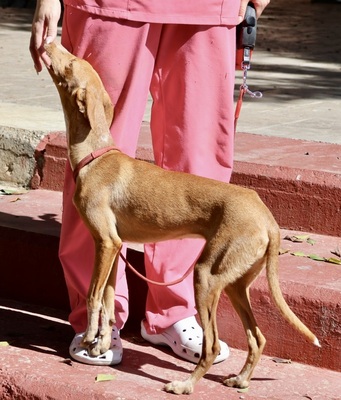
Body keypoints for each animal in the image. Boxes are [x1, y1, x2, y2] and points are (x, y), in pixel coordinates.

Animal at [43, 39, 318, 394]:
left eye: (72, 62)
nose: (51, 41)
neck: (96, 155)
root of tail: (268, 220)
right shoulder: (114, 246)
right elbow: (107, 299)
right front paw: (102, 342)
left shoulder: (106, 241)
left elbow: (92, 296)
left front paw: (90, 337)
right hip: (235, 282)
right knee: (257, 338)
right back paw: (241, 380)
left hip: (206, 275)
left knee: (212, 345)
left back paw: (185, 385)